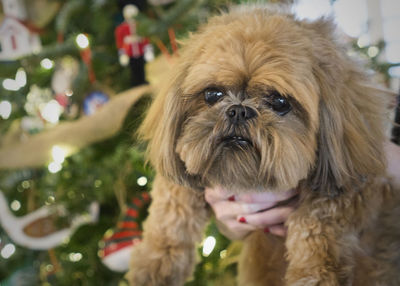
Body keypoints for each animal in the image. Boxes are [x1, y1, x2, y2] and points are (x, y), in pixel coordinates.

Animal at [127, 4, 400, 286]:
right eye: (212, 94)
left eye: (279, 102)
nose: (238, 111)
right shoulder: (182, 167)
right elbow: (172, 211)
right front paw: (155, 264)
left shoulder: (349, 183)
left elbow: (315, 223)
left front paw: (314, 274)